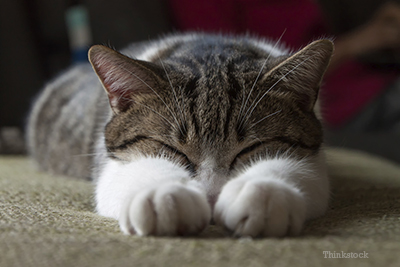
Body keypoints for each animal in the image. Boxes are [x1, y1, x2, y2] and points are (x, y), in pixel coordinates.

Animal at [26, 33, 332, 237]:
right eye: (172, 149)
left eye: (250, 149)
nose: (211, 198)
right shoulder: (110, 164)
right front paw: (165, 193)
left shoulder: (317, 162)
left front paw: (263, 192)